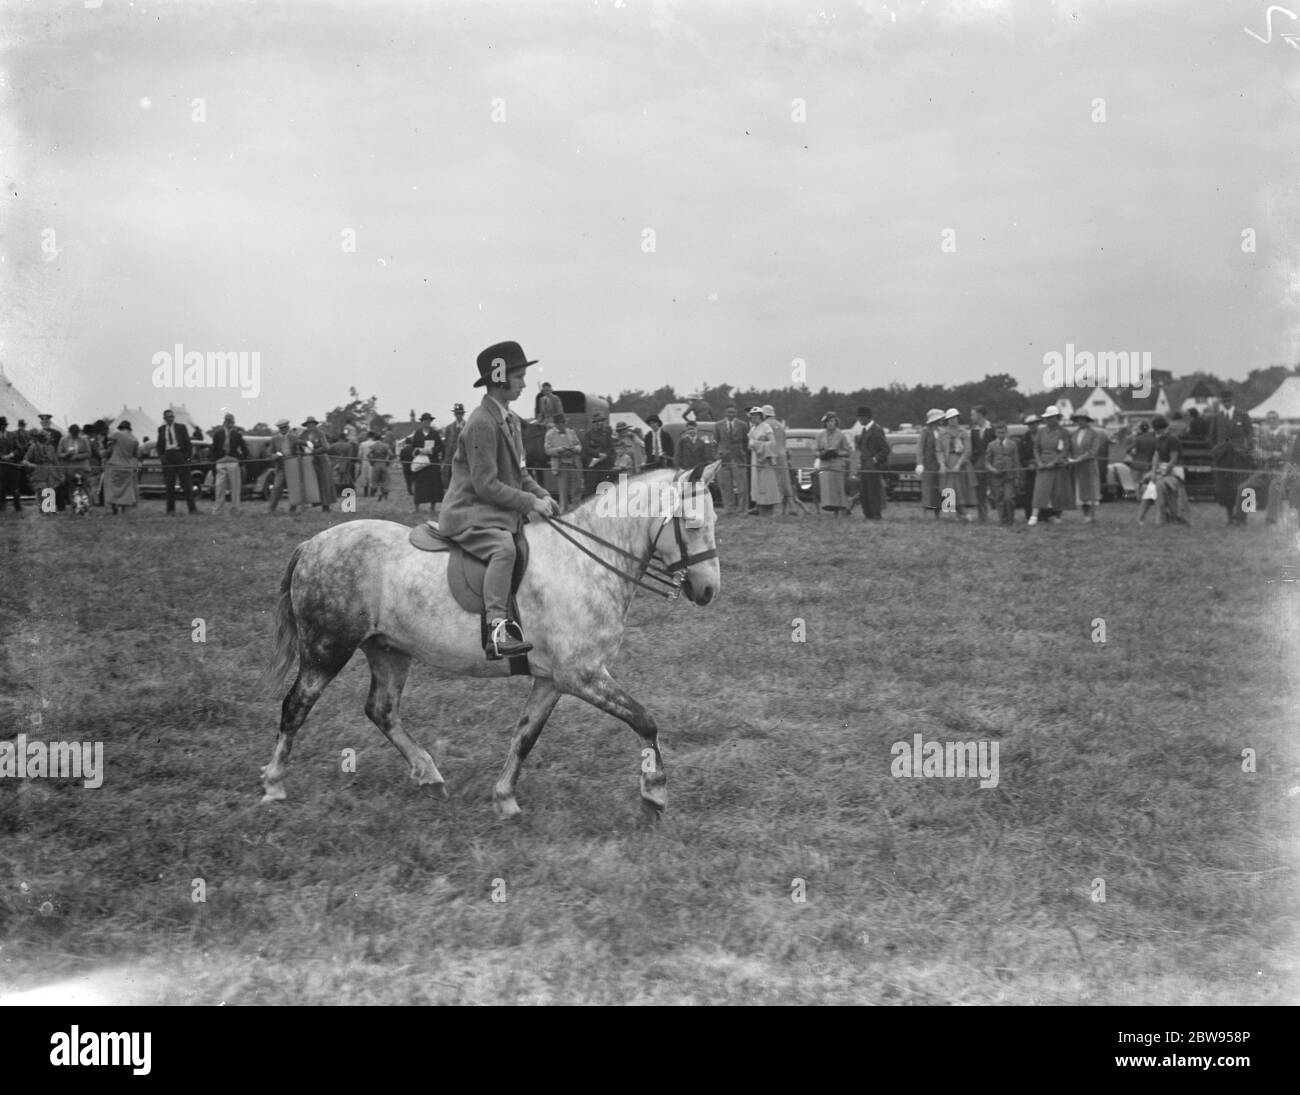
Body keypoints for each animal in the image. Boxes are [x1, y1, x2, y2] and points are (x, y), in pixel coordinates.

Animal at [259, 461, 722, 818]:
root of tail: (312, 544)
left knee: (382, 711)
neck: (584, 562)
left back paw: (429, 775)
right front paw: (654, 794)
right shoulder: (583, 675)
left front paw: (505, 799)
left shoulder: (553, 680)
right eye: (693, 524)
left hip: (388, 650)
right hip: (326, 649)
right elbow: (644, 720)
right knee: (296, 706)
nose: (708, 591)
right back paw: (274, 784)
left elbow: (525, 735)